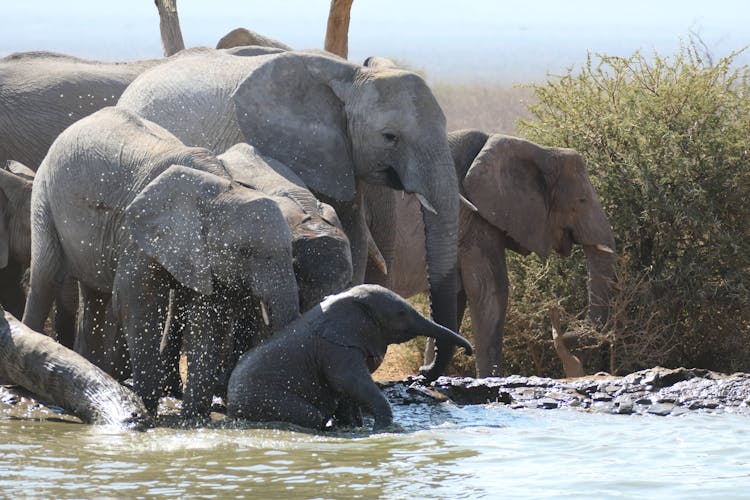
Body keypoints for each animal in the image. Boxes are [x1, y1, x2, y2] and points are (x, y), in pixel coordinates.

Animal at [25, 108, 304, 418]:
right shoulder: (138, 231)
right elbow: (138, 303)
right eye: (244, 251)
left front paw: (193, 419)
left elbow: (207, 320)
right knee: (45, 279)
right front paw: (146, 411)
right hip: (44, 196)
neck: (221, 186)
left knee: (94, 294)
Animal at [229, 284, 476, 432]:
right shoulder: (337, 348)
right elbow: (348, 380)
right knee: (312, 415)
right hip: (263, 398)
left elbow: (348, 389)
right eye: (401, 313)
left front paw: (358, 428)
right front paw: (380, 430)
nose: (469, 351)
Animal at [362, 131, 616, 376]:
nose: (556, 312)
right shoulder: (478, 220)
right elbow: (490, 292)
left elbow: (455, 298)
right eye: (581, 200)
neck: (539, 150)